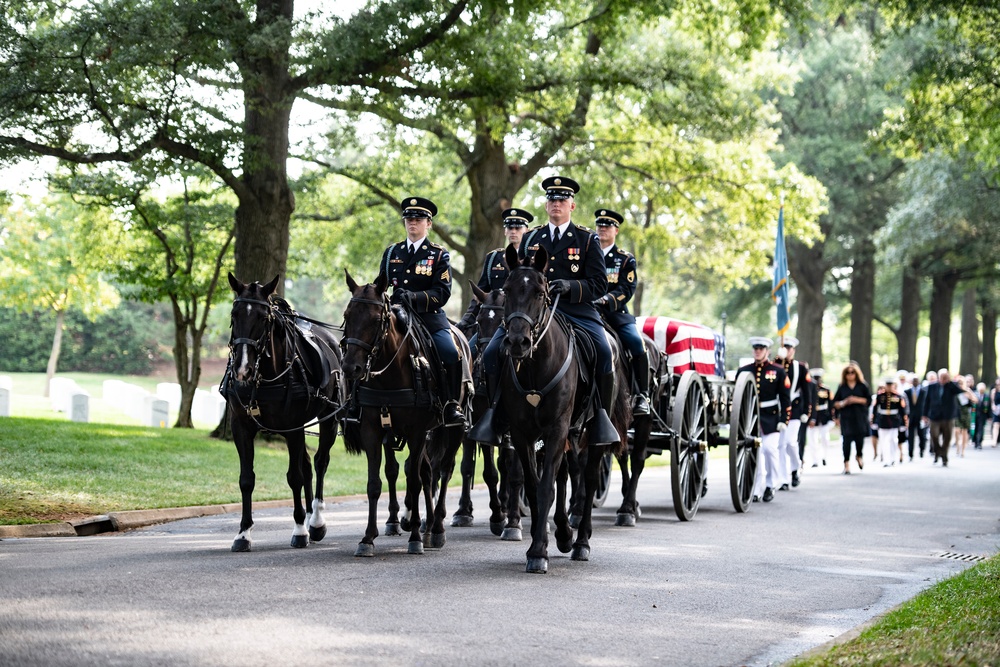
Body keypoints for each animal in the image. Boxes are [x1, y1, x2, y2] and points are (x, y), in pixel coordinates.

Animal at [219, 272, 344, 552]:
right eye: (234, 314)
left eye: (263, 317)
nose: (242, 369)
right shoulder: (240, 426)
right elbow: (247, 479)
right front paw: (243, 533)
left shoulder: (292, 427)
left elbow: (294, 476)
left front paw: (299, 530)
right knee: (308, 465)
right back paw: (309, 517)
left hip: (329, 419)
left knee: (320, 462)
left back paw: (315, 521)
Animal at [342, 272, 470, 560]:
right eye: (347, 315)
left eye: (375, 319)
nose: (350, 368)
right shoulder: (373, 430)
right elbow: (375, 482)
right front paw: (368, 538)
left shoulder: (416, 431)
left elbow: (412, 478)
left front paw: (414, 538)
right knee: (428, 473)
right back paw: (428, 526)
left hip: (453, 429)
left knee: (443, 471)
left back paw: (437, 528)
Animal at [454, 284, 528, 540]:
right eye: (479, 320)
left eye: (502, 322)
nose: (485, 364)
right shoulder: (481, 423)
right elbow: (489, 472)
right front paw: (497, 516)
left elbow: (515, 473)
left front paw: (513, 522)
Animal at [498, 247, 628, 576]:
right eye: (506, 289)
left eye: (540, 292)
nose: (517, 342)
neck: (535, 366)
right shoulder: (523, 433)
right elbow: (535, 486)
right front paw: (539, 540)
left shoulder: (556, 429)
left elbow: (546, 487)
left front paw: (539, 552)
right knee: (566, 474)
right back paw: (564, 533)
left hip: (592, 433)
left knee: (589, 479)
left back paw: (581, 541)